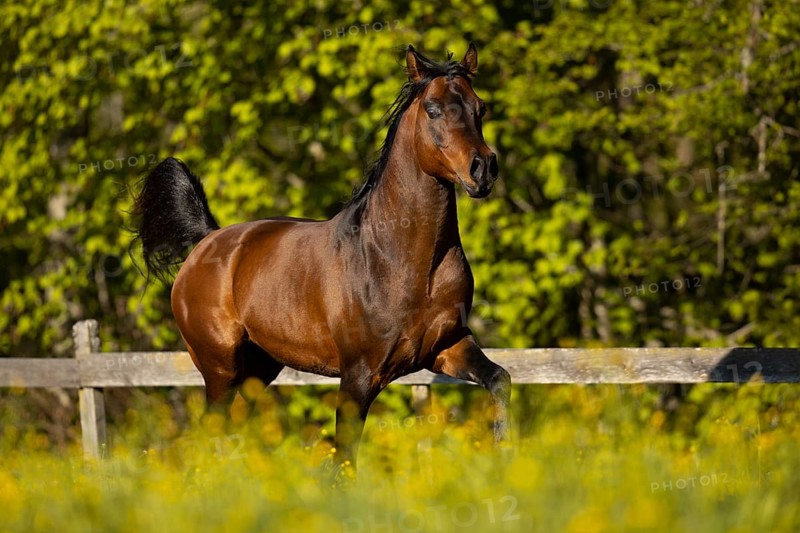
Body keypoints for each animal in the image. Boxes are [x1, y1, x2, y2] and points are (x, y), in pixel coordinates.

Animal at [132, 43, 510, 473]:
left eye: (480, 107)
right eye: (433, 109)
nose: (483, 169)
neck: (405, 263)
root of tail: (207, 241)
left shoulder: (447, 347)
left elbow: (500, 380)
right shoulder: (359, 375)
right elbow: (343, 456)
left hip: (259, 367)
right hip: (219, 367)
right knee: (210, 433)